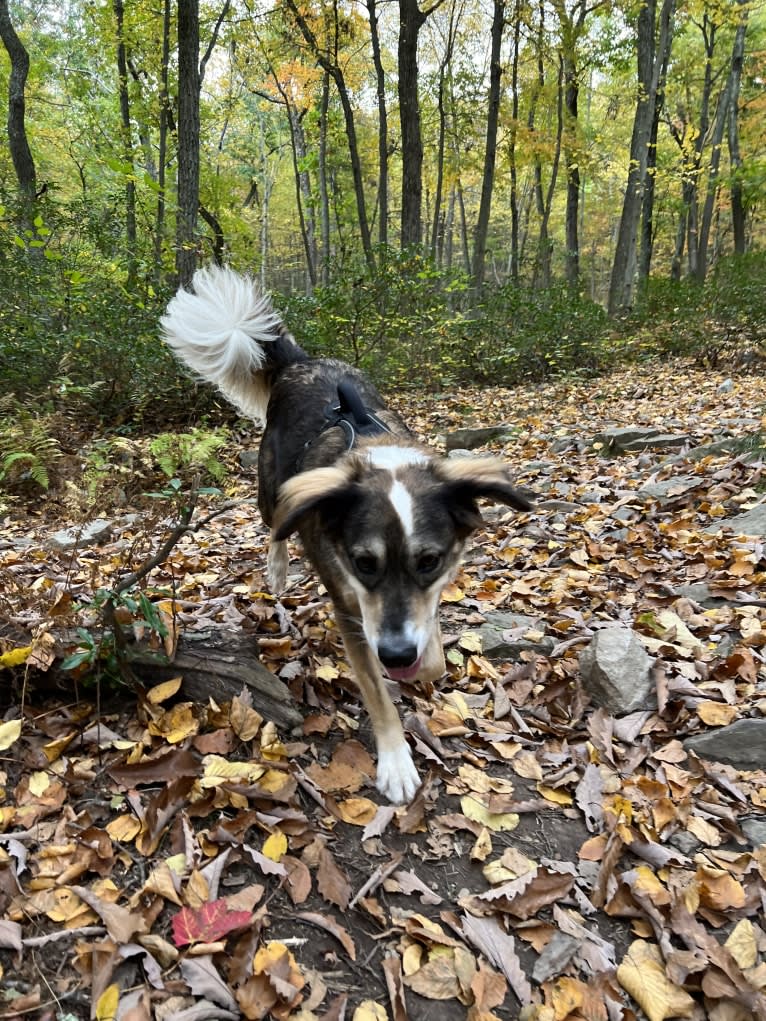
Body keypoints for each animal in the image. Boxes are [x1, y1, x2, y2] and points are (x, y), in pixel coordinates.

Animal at [162, 265, 535, 804]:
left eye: (430, 561)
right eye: (364, 563)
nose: (396, 654)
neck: (378, 455)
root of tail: (302, 362)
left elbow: (431, 646)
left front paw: (424, 662)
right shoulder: (351, 608)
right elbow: (377, 690)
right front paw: (396, 761)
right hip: (274, 488)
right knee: (276, 525)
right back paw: (278, 569)